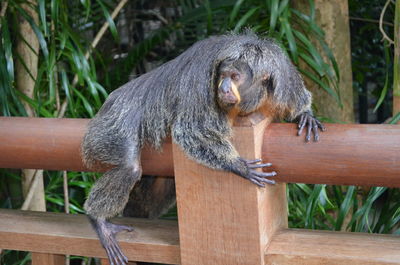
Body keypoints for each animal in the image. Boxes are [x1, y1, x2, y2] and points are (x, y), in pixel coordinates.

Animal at [81, 32, 324, 262]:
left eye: (235, 77)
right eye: (223, 76)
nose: (224, 88)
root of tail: (110, 100)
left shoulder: (284, 76)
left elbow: (296, 98)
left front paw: (305, 115)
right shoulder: (201, 84)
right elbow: (191, 130)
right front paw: (238, 165)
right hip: (112, 123)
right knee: (129, 168)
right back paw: (99, 220)